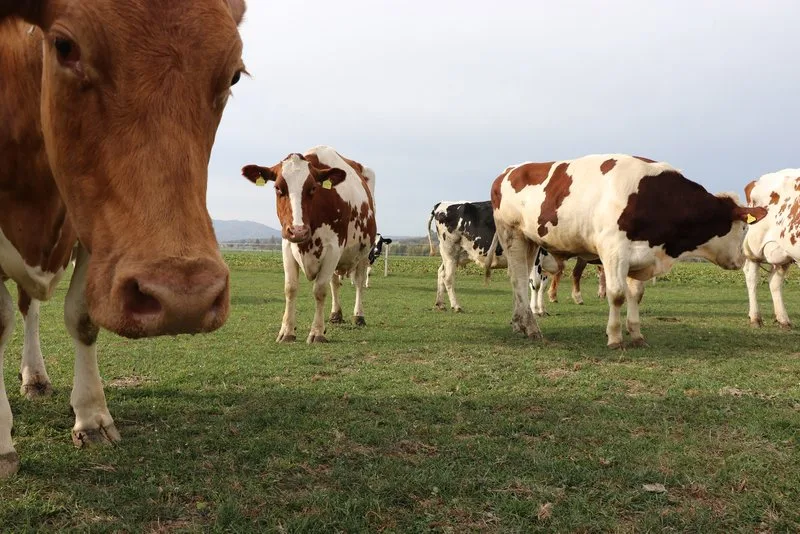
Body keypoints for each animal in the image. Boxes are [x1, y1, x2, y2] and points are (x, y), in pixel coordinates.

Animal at [1, 0, 247, 479]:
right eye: (64, 45)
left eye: (234, 76)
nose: (184, 298)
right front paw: (2, 442)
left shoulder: (94, 232)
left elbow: (81, 317)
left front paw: (92, 417)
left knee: (30, 307)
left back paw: (35, 377)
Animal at [241, 146, 377, 343]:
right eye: (278, 188)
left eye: (313, 188)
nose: (298, 231)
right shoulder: (287, 245)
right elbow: (290, 288)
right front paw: (287, 331)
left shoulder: (334, 248)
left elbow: (319, 290)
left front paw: (317, 332)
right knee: (335, 282)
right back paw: (335, 314)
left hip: (365, 252)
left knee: (359, 281)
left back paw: (358, 316)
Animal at [488, 154, 768, 348]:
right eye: (744, 227)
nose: (741, 259)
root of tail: (508, 171)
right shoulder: (613, 252)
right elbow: (617, 295)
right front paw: (614, 337)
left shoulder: (641, 255)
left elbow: (636, 295)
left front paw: (636, 334)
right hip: (512, 234)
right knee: (521, 280)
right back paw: (531, 327)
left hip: (530, 241)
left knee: (519, 281)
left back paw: (519, 323)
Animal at [742, 169, 800, 329]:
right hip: (754, 246)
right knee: (751, 276)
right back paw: (755, 318)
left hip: (784, 253)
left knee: (774, 281)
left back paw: (783, 320)